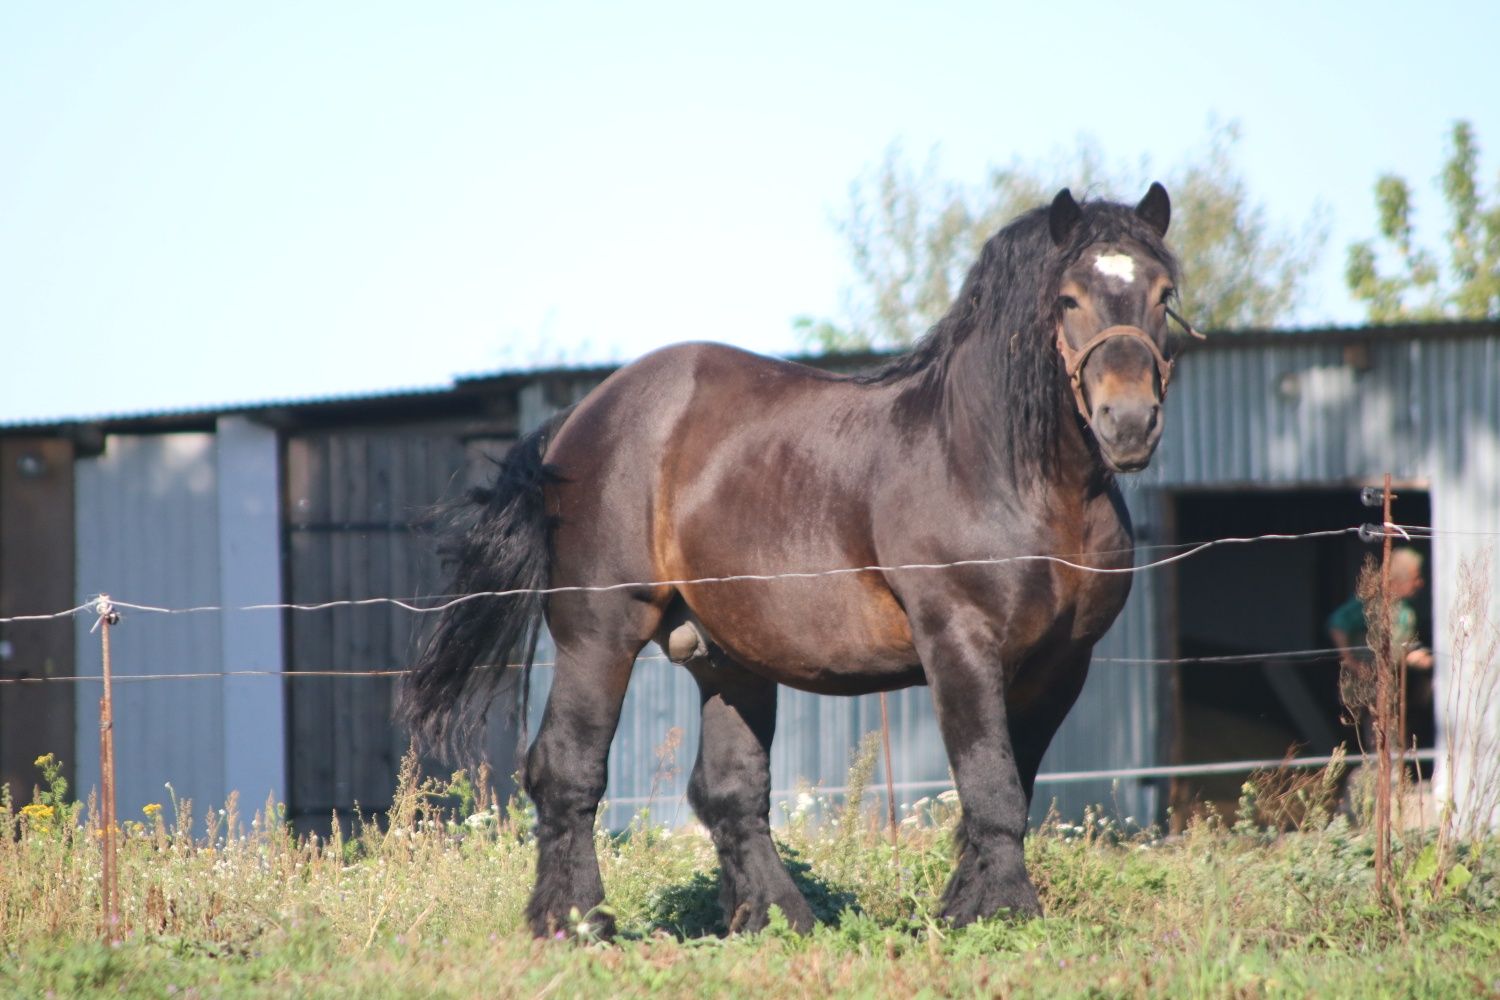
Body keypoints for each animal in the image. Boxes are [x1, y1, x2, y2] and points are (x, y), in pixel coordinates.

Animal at [402, 185, 1194, 941]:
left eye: (1164, 294)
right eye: (1068, 298)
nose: (1129, 423)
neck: (1000, 470)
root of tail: (577, 420)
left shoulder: (1061, 664)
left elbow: (1010, 787)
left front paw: (963, 908)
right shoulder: (960, 644)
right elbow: (991, 784)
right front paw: (1001, 914)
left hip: (725, 658)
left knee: (727, 790)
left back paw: (777, 918)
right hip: (599, 632)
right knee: (566, 768)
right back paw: (576, 922)